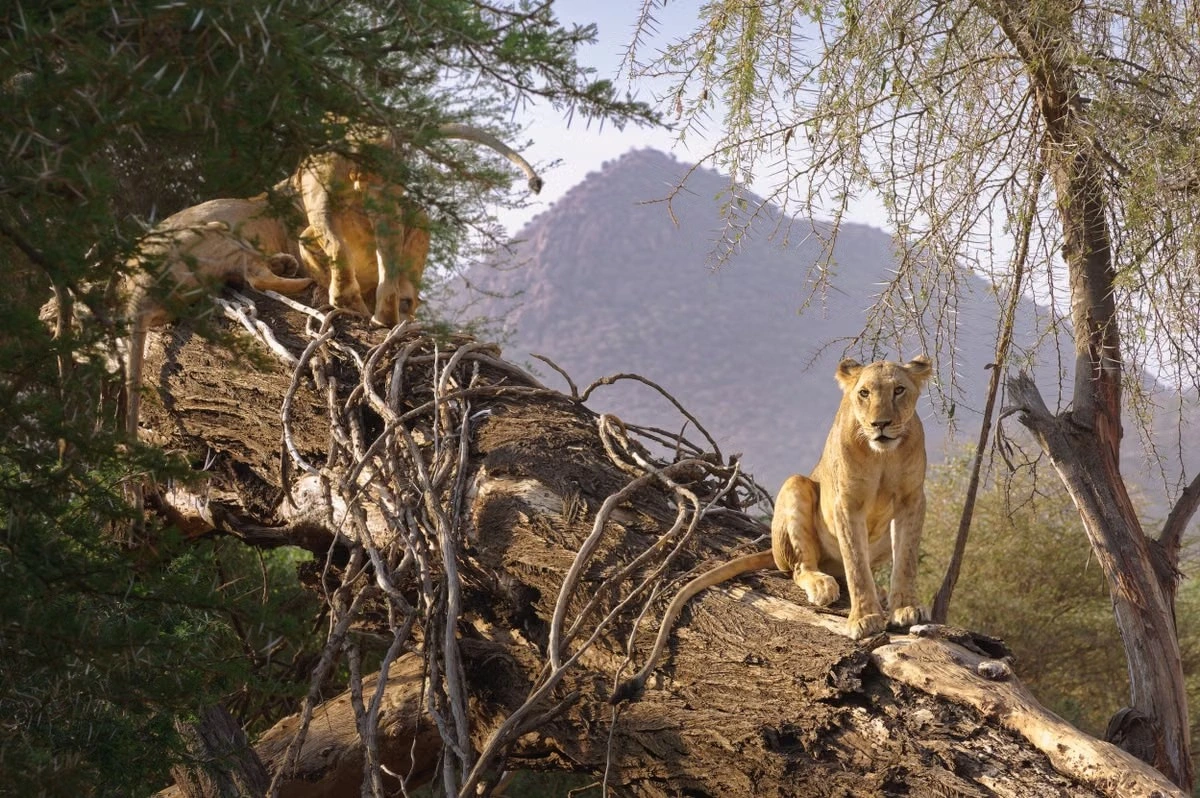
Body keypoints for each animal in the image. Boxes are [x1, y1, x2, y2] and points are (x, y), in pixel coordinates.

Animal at [610, 355, 933, 703]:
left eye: (899, 390)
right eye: (864, 393)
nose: (880, 424)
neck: (882, 455)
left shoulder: (913, 499)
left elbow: (906, 560)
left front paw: (905, 608)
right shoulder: (845, 504)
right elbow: (856, 566)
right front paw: (864, 618)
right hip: (796, 485)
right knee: (800, 568)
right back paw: (822, 584)